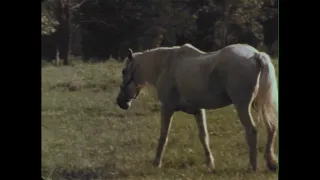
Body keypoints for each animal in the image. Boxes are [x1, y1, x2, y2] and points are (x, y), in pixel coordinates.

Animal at [115, 43, 278, 172]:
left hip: (242, 106)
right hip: (258, 105)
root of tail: (255, 55)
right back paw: (271, 163)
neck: (166, 65)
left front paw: (157, 163)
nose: (120, 102)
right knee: (271, 127)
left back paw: (252, 167)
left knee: (252, 131)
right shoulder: (198, 111)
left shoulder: (167, 108)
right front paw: (210, 163)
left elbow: (163, 135)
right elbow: (203, 136)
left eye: (124, 71)